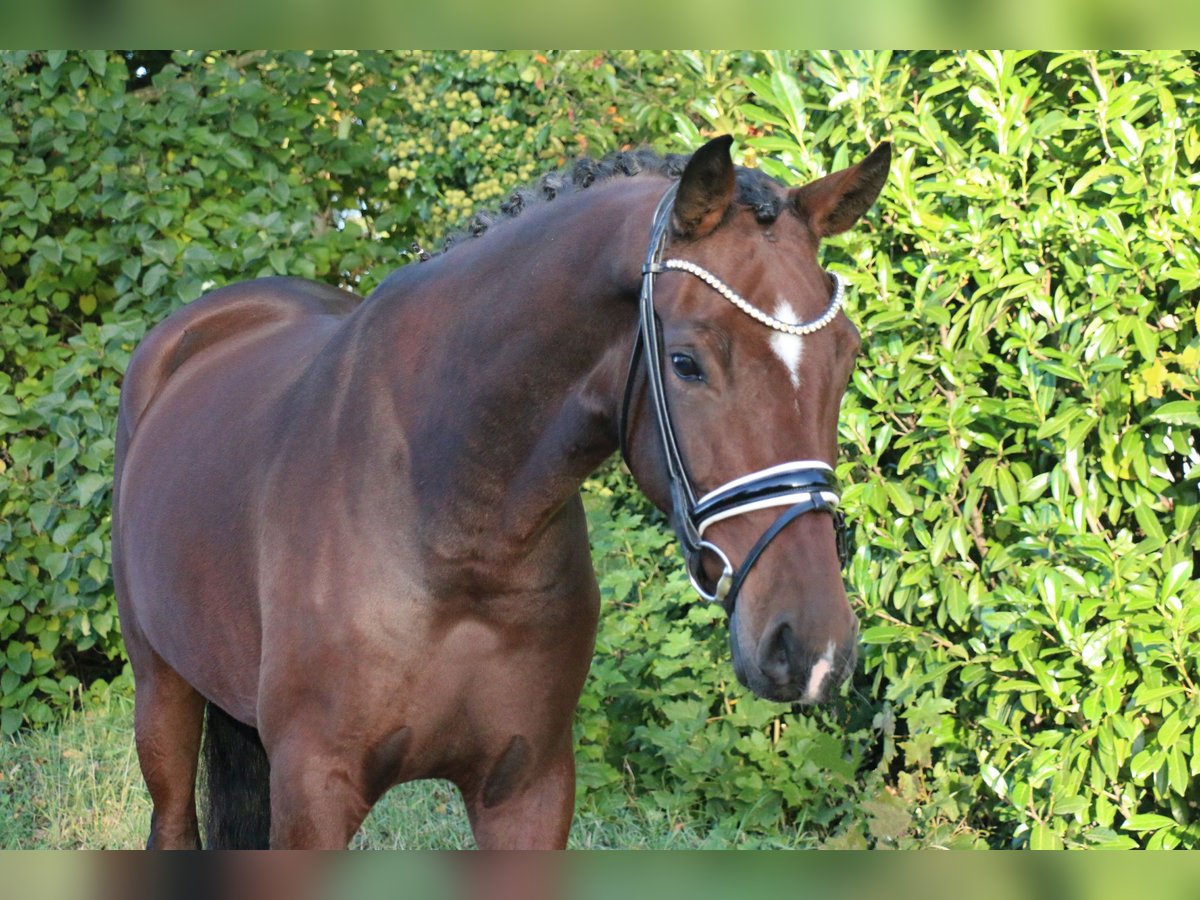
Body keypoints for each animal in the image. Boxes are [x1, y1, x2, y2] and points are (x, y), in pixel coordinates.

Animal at [112, 135, 892, 854]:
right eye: (686, 362)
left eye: (847, 355)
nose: (812, 646)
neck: (453, 523)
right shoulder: (313, 795)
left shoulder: (529, 790)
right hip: (161, 694)